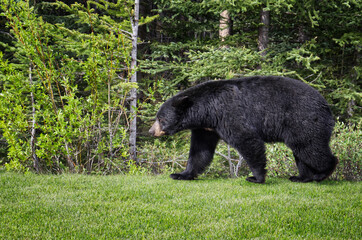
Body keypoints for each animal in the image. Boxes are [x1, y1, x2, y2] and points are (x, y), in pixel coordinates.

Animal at [148, 76, 338, 183]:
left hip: (303, 120)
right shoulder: (206, 128)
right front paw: (181, 174)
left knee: (309, 147)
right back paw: (301, 177)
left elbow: (247, 140)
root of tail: (326, 106)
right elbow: (200, 151)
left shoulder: (228, 114)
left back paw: (323, 173)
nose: (151, 131)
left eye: (161, 118)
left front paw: (256, 177)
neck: (208, 110)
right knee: (301, 152)